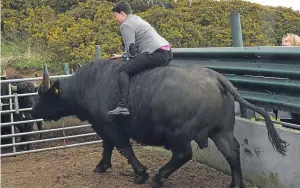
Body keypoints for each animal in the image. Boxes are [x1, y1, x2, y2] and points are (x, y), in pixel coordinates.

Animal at [31, 60, 288, 188]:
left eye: (42, 95)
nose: (32, 111)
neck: (90, 83)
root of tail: (216, 77)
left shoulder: (110, 125)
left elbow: (124, 148)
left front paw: (140, 173)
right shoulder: (103, 126)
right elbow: (107, 147)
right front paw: (102, 166)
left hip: (179, 133)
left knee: (183, 154)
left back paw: (158, 177)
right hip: (221, 131)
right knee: (232, 151)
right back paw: (235, 184)